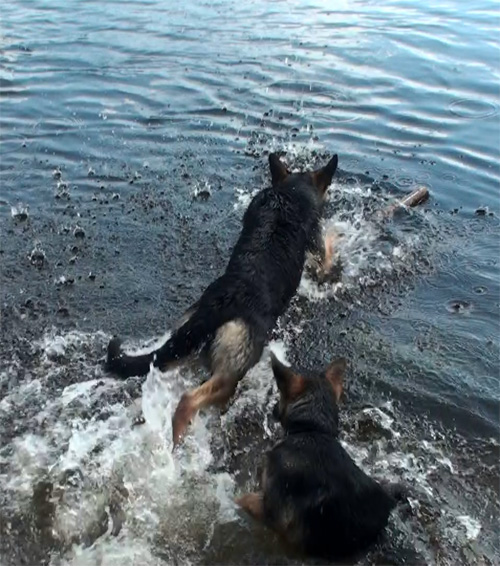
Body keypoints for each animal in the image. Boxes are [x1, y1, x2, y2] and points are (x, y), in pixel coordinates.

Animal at [106, 153, 340, 446]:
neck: (289, 194)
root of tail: (216, 305)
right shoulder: (317, 251)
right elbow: (328, 253)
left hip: (184, 346)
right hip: (232, 371)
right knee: (188, 400)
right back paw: (178, 440)